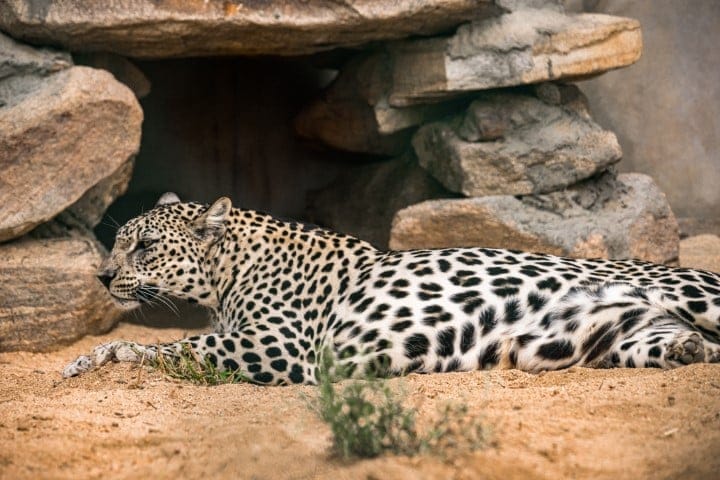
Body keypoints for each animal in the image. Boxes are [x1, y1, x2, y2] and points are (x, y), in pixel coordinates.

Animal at [63, 193, 720, 384]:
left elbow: (175, 348)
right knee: (686, 346)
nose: (103, 276)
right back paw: (689, 350)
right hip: (615, 335)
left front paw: (104, 357)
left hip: (694, 291)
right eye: (119, 242)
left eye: (145, 246)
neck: (228, 276)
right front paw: (88, 360)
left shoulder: (282, 346)